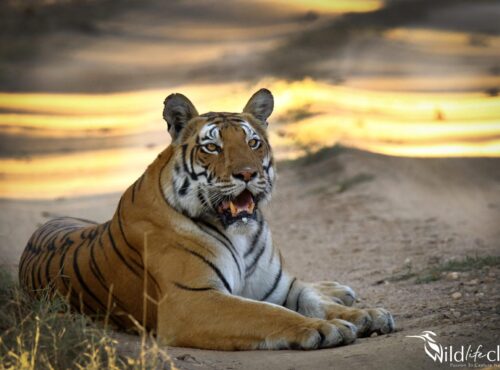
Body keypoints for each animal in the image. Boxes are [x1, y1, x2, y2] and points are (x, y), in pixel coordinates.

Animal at [19, 89, 394, 350]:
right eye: (212, 148)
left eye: (253, 143)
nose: (247, 173)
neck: (240, 234)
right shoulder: (192, 300)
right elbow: (266, 312)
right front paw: (321, 329)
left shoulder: (280, 286)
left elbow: (314, 300)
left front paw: (365, 315)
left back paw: (341, 290)